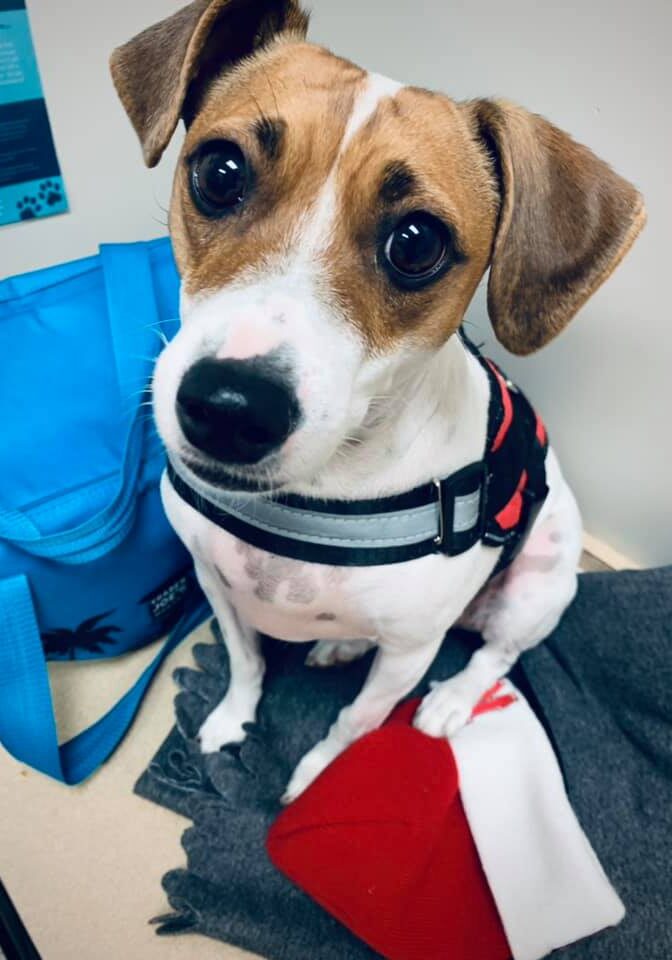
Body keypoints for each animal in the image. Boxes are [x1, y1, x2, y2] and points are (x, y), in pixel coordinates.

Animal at [110, 0, 644, 804]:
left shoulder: (409, 653)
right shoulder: (215, 584)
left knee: (496, 653)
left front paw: (313, 780)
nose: (231, 408)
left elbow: (355, 725)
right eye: (219, 172)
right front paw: (232, 718)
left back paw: (452, 700)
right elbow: (245, 661)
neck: (317, 495)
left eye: (417, 243)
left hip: (537, 587)